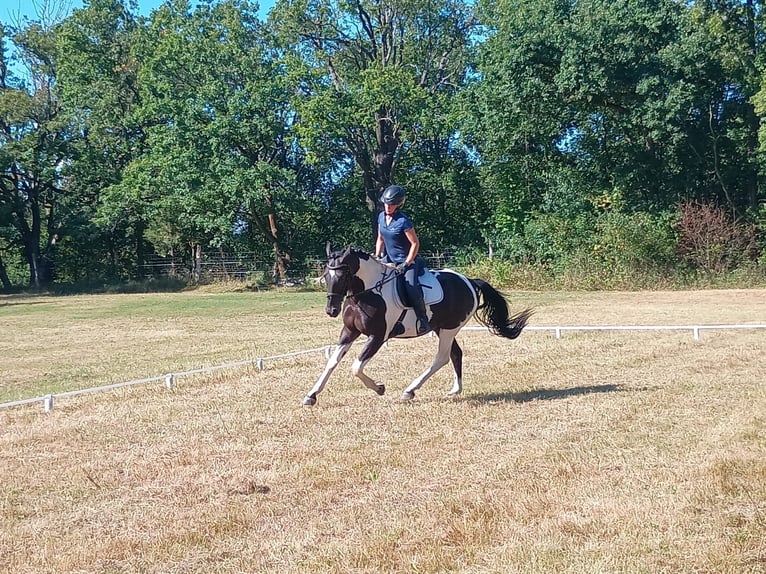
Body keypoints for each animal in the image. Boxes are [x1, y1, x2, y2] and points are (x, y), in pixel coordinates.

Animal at [302, 244, 534, 406]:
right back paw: (455, 389)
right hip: (441, 328)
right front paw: (311, 395)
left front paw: (379, 388)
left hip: (449, 329)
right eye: (326, 275)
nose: (331, 310)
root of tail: (468, 281)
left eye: (343, 276)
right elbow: (332, 361)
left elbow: (356, 366)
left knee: (442, 358)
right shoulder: (349, 332)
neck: (369, 292)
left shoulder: (378, 336)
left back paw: (410, 390)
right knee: (455, 354)